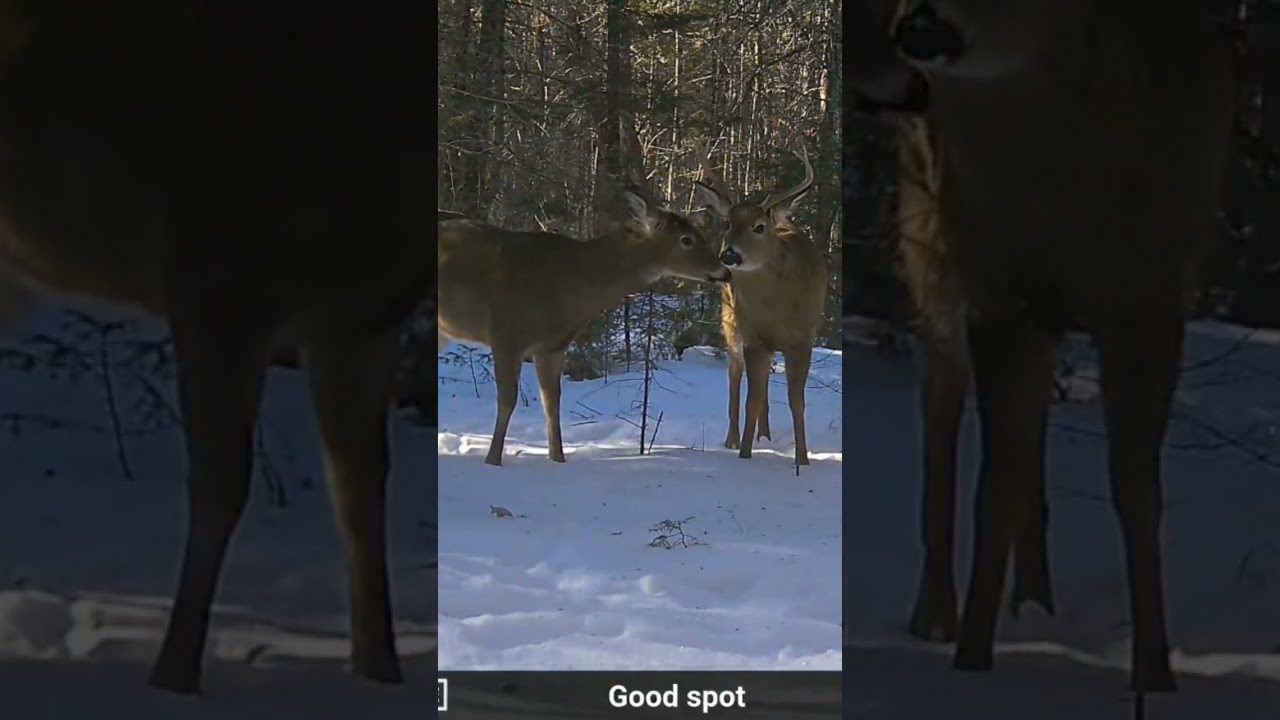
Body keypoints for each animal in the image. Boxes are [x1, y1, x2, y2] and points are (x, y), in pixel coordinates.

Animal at [0, 2, 427, 694]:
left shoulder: (362, 320)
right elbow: (223, 485)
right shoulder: (216, 284)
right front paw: (173, 675)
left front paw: (379, 671)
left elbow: (360, 489)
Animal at [437, 185, 730, 466]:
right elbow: (508, 399)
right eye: (686, 239)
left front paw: (558, 458)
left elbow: (552, 401)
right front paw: (492, 461)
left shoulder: (553, 346)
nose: (724, 271)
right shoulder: (506, 334)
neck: (569, 284)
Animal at [693, 145, 828, 467]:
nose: (729, 255)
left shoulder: (802, 338)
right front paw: (744, 454)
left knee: (763, 387)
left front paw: (802, 460)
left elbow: (795, 400)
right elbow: (750, 399)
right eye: (727, 223)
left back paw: (764, 437)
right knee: (735, 377)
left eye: (759, 227)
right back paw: (733, 439)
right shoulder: (753, 337)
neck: (775, 308)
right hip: (731, 323)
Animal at [853, 0, 1236, 693]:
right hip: (934, 253)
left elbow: (1137, 490)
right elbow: (993, 490)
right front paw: (971, 662)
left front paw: (1155, 675)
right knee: (942, 420)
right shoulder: (1001, 291)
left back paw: (1034, 602)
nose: (914, 26)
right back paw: (938, 612)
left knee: (1028, 445)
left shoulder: (1153, 296)